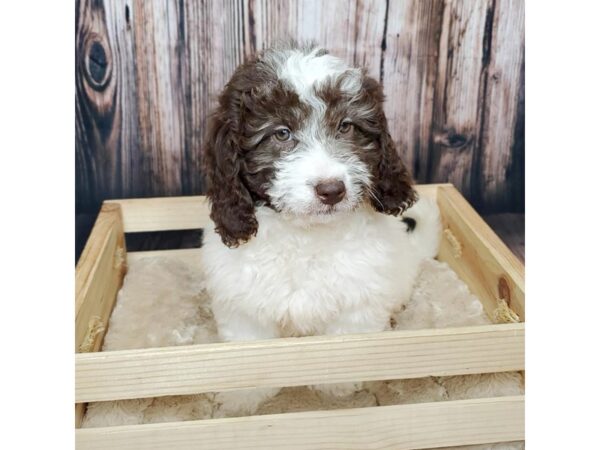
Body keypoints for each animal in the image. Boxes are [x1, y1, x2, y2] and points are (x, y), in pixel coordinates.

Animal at [202, 43, 440, 414]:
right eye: (282, 133)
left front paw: (335, 388)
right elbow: (250, 350)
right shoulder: (243, 304)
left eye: (346, 127)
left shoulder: (359, 301)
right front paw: (245, 398)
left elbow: (344, 344)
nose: (332, 190)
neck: (306, 234)